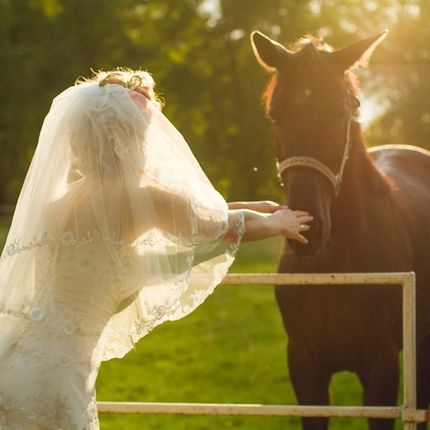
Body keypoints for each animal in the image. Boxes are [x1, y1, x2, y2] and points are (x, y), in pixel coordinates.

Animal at [250, 30, 430, 430]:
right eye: (274, 114)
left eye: (339, 112)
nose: (308, 227)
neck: (333, 269)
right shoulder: (305, 371)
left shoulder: (381, 371)